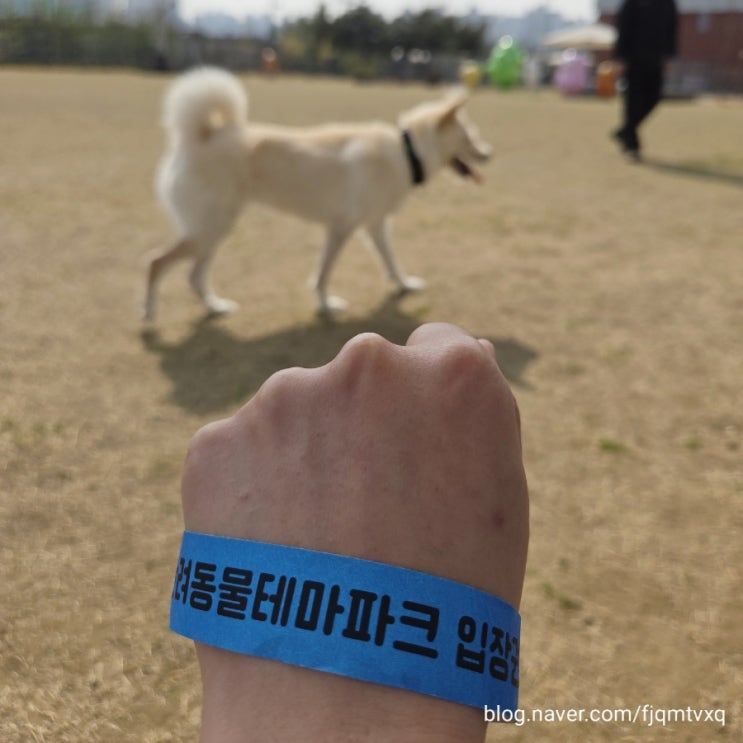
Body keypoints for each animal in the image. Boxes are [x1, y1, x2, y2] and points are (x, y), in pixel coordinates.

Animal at [144, 66, 492, 322]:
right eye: (470, 138)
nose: (489, 153)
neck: (407, 152)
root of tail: (198, 138)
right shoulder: (341, 228)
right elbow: (323, 274)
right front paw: (326, 307)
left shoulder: (375, 225)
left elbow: (390, 260)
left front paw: (404, 285)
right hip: (210, 229)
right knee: (156, 262)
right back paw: (149, 315)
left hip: (214, 231)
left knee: (193, 275)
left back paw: (216, 307)